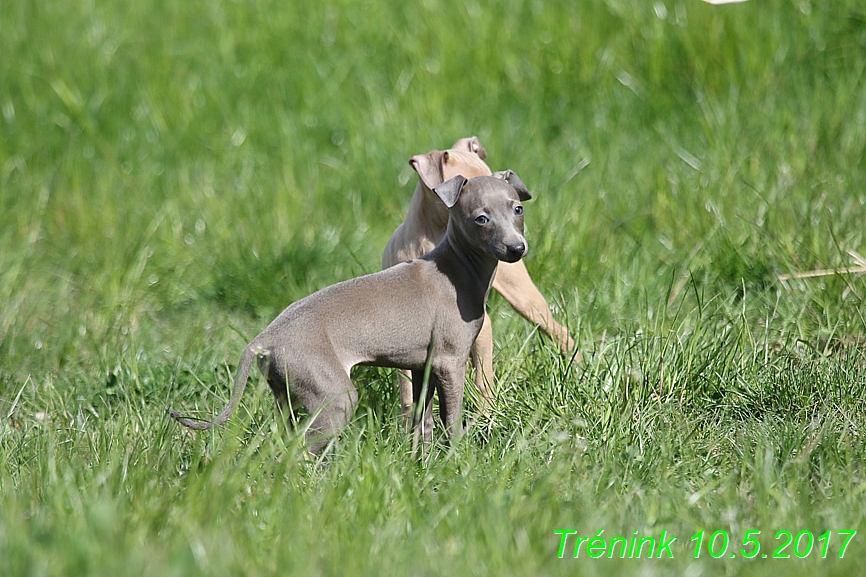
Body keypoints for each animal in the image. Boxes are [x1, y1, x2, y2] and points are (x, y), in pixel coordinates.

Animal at [170, 171, 528, 450]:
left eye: (518, 209)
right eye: (481, 218)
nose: (517, 248)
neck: (458, 268)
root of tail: (264, 337)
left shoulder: (422, 365)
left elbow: (420, 421)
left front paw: (421, 463)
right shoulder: (449, 361)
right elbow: (450, 418)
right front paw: (457, 459)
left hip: (286, 394)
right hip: (333, 394)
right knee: (300, 449)